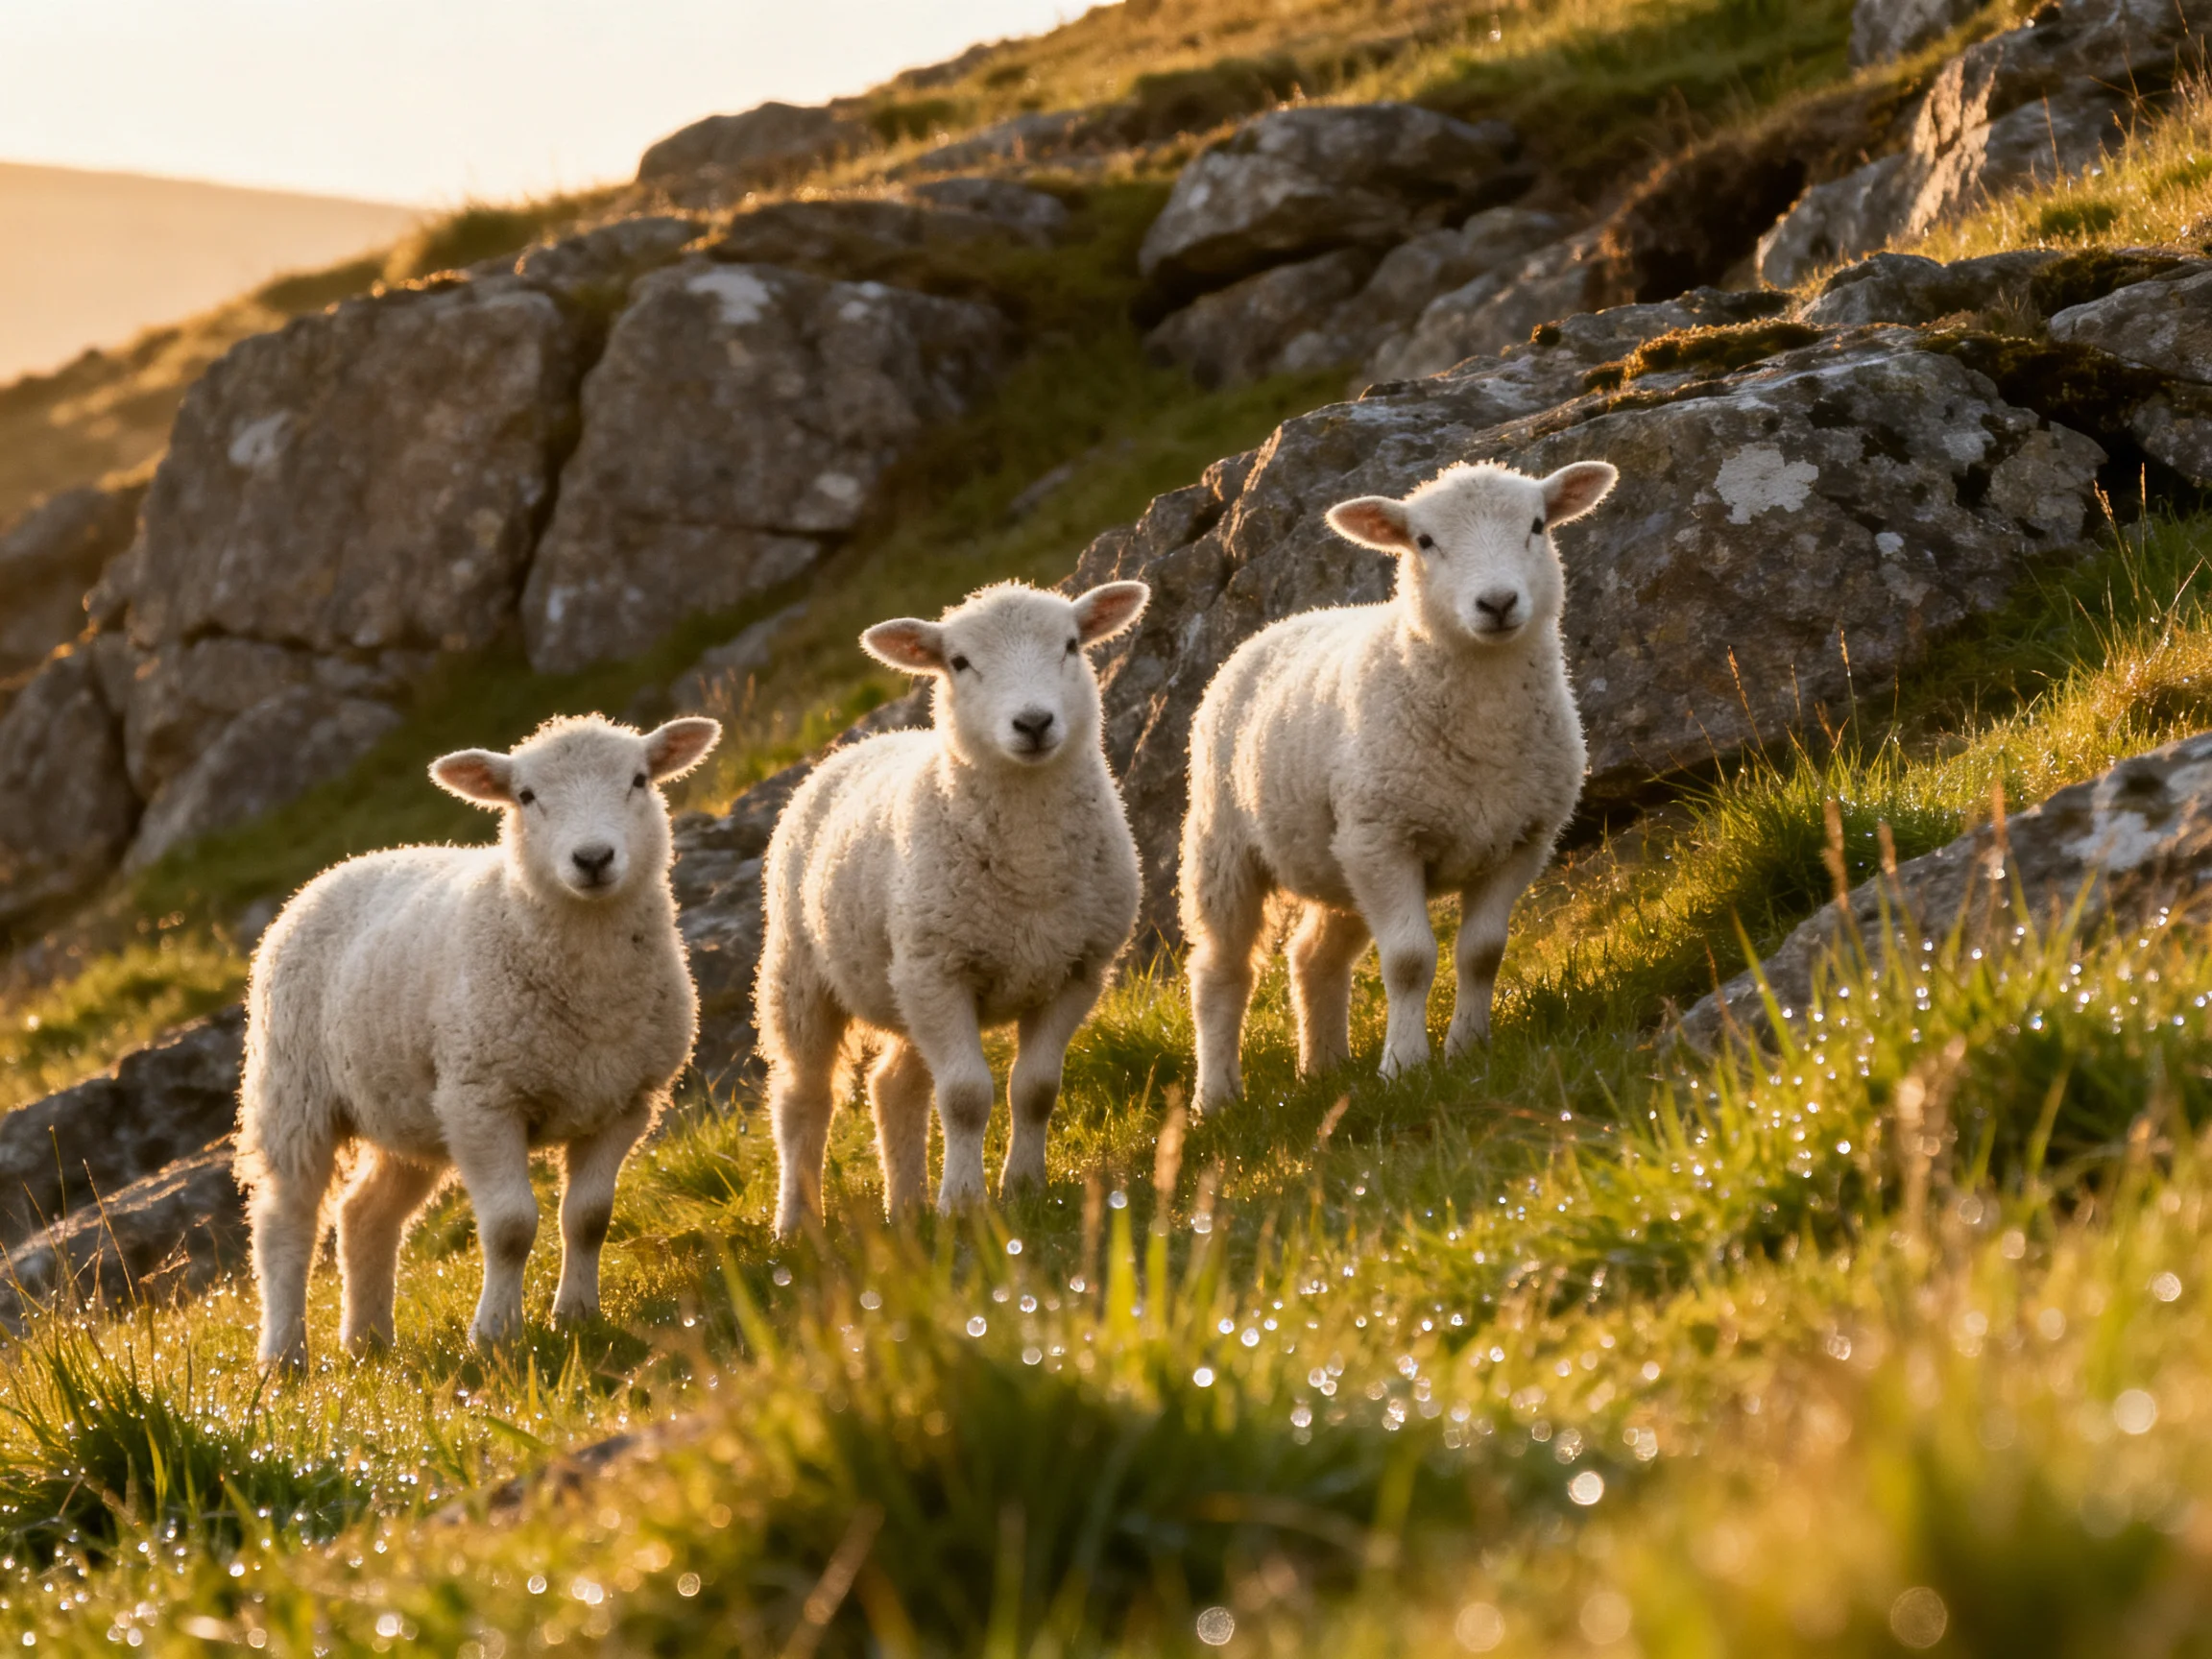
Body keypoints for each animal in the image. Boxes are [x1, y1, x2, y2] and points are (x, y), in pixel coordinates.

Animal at [235, 713, 721, 1367]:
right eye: (526, 796)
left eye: (639, 780)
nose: (593, 858)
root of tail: (347, 864)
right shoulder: (484, 1101)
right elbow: (511, 1228)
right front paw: (495, 1334)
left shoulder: (626, 1102)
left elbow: (589, 1217)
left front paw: (577, 1316)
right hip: (294, 1089)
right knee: (285, 1221)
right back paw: (284, 1357)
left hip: (410, 1110)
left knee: (364, 1215)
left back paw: (368, 1344)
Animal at [758, 579, 1150, 1231]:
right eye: (960, 662)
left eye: (1071, 644)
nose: (1034, 722)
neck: (1031, 863)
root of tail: (867, 741)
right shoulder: (939, 972)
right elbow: (965, 1097)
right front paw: (964, 1202)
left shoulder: (1078, 969)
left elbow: (1035, 1089)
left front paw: (1024, 1188)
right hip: (802, 972)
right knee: (803, 1098)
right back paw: (796, 1224)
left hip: (905, 982)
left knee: (893, 1087)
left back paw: (907, 1207)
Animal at [1180, 458, 1617, 1110]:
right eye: (1425, 541)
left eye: (1538, 525)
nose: (1497, 602)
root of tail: (1284, 623)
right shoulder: (1386, 842)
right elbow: (1409, 962)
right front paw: (1404, 1068)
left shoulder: (1521, 840)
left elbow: (1482, 953)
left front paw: (1468, 1050)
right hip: (1226, 844)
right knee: (1221, 969)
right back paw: (1216, 1098)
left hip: (1340, 856)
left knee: (1313, 957)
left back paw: (1324, 1069)